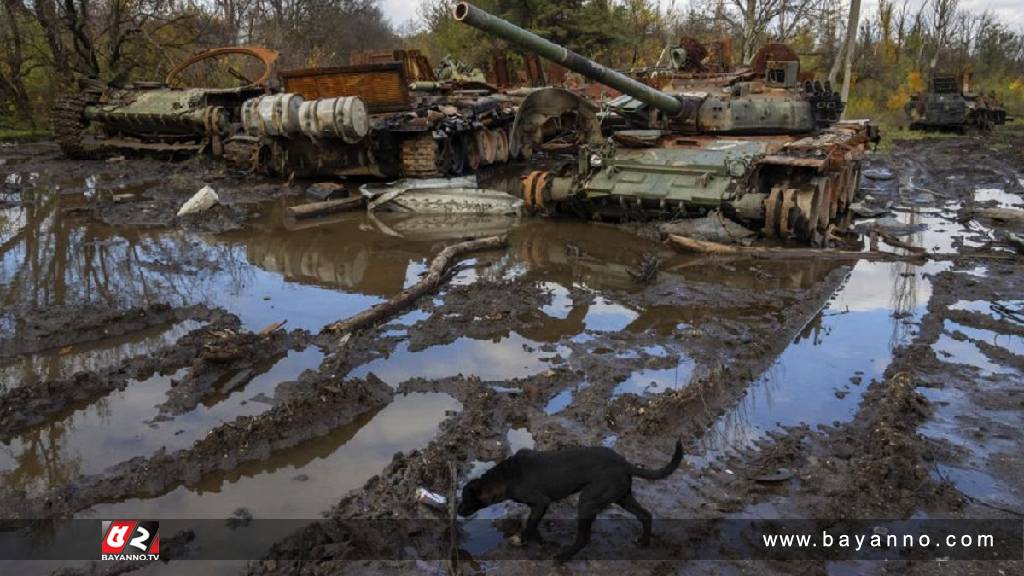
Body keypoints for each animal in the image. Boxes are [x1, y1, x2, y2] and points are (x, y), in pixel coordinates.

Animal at [456, 436, 679, 557]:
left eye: (466, 499)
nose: (457, 511)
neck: (506, 476)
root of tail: (624, 463)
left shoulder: (541, 502)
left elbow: (530, 525)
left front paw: (527, 541)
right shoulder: (536, 507)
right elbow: (532, 524)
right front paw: (536, 542)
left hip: (587, 501)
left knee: (584, 538)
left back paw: (563, 557)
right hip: (622, 497)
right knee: (645, 515)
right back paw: (643, 542)